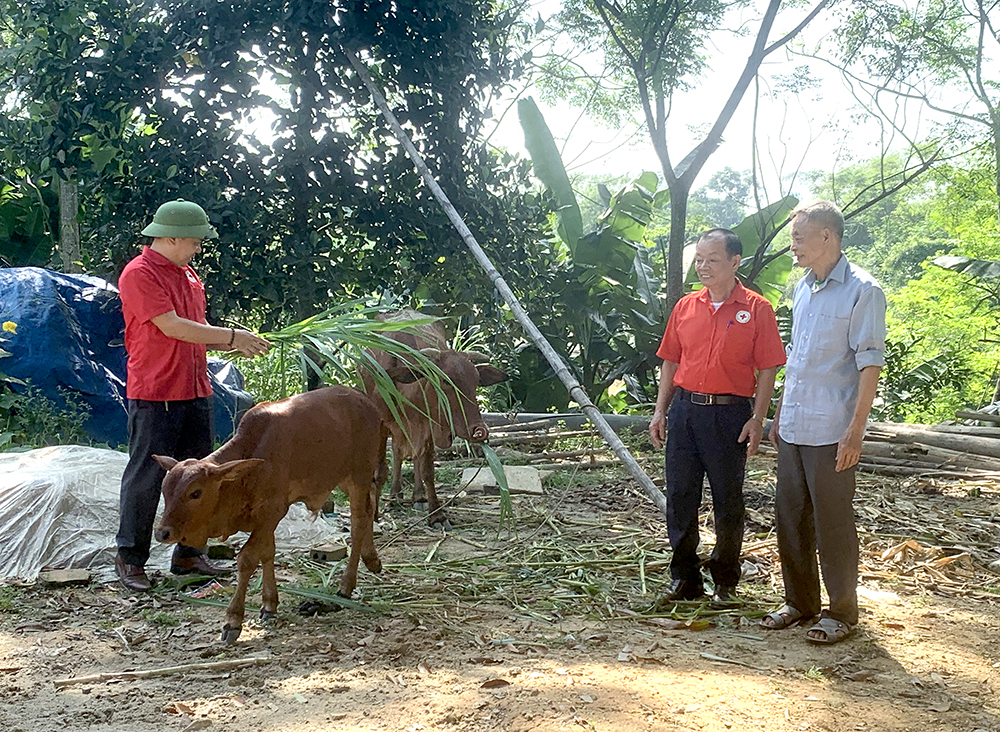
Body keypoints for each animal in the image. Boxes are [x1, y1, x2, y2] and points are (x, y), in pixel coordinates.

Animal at [154, 386, 384, 644]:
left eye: (195, 493)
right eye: (165, 490)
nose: (162, 533)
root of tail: (365, 400)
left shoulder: (272, 512)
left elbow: (247, 559)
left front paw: (233, 620)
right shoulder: (266, 519)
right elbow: (267, 553)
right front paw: (269, 605)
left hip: (359, 475)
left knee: (358, 523)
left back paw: (346, 586)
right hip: (344, 478)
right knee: (370, 506)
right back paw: (372, 559)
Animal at [362, 310, 508, 532]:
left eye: (476, 381)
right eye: (445, 381)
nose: (479, 430)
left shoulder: (429, 426)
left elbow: (428, 471)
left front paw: (436, 515)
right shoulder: (380, 425)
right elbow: (380, 472)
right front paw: (374, 513)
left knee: (410, 456)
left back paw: (418, 497)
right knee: (397, 452)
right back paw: (395, 496)